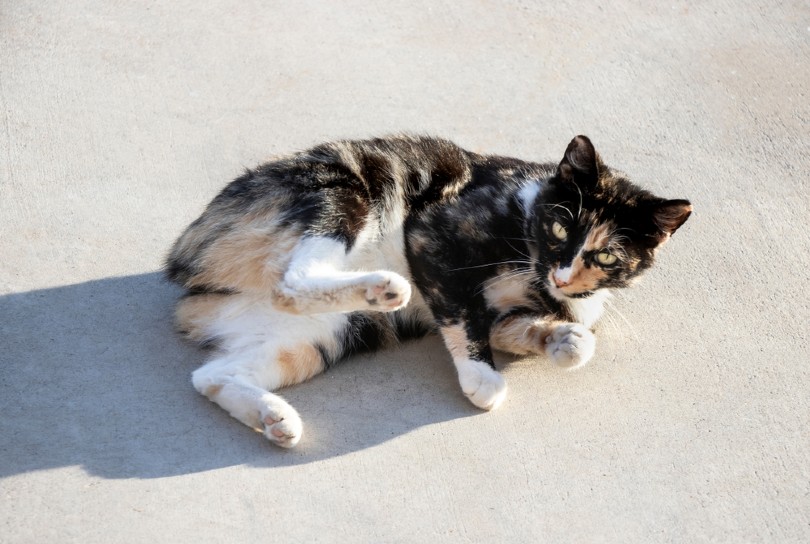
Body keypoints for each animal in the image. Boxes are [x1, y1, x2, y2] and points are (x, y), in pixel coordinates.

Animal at [164, 135, 688, 446]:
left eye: (606, 257)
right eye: (560, 227)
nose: (562, 276)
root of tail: (188, 271)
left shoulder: (511, 316)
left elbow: (524, 330)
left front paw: (566, 341)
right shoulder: (432, 235)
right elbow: (461, 313)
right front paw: (482, 379)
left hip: (323, 335)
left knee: (210, 375)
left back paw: (275, 419)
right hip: (339, 188)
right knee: (291, 284)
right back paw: (384, 288)